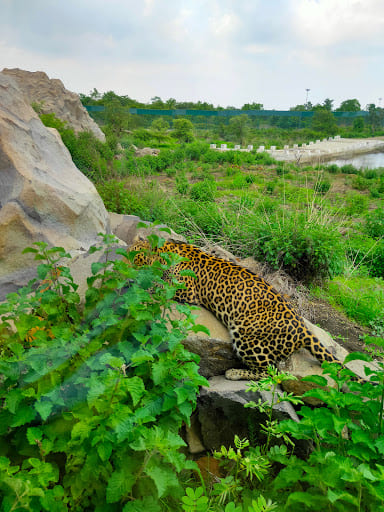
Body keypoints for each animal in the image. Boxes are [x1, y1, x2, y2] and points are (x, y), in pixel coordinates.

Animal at [130, 238, 354, 382]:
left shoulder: (187, 290)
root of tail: (303, 329)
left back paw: (234, 373)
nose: (125, 262)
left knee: (271, 373)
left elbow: (160, 284)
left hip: (248, 336)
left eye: (135, 256)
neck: (167, 251)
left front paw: (143, 282)